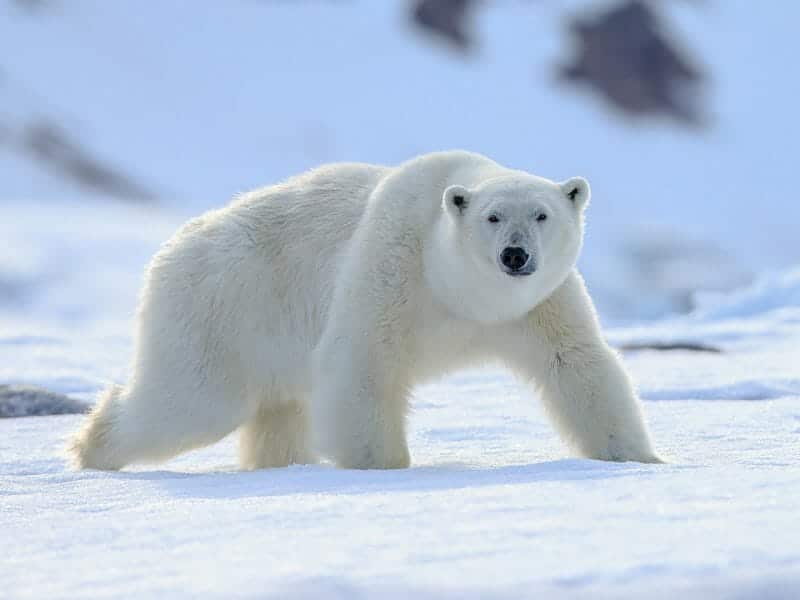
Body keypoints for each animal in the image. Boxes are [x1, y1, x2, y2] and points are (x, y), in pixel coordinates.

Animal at [68, 150, 661, 471]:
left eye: (542, 214)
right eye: (492, 217)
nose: (515, 255)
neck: (461, 292)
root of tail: (172, 248)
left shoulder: (539, 304)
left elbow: (576, 364)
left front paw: (640, 458)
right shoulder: (392, 263)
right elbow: (363, 361)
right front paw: (383, 467)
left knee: (278, 413)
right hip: (221, 309)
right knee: (191, 402)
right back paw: (91, 448)